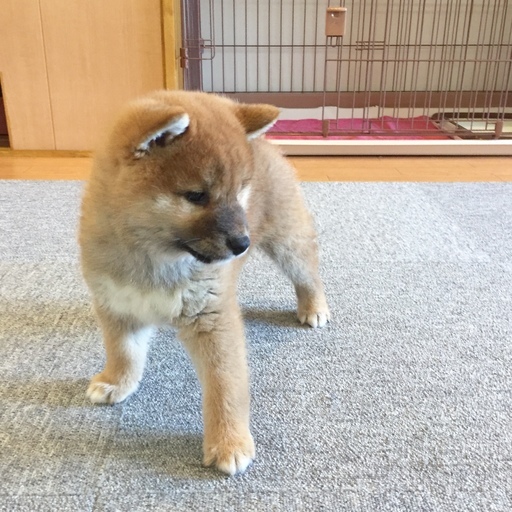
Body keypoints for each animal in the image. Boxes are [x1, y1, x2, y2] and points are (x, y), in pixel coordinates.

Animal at [78, 89, 330, 476]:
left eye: (240, 191)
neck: (153, 257)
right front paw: (116, 381)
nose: (242, 243)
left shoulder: (212, 319)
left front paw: (229, 441)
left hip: (289, 240)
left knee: (308, 272)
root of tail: (266, 144)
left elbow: (224, 386)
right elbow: (123, 352)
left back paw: (314, 306)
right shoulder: (117, 305)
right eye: (196, 196)